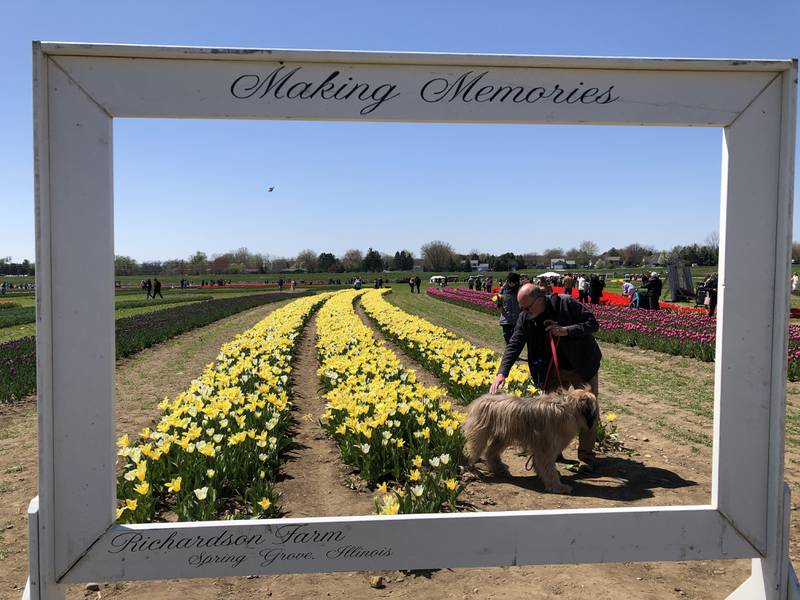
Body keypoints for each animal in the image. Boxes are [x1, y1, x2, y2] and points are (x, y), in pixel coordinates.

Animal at [462, 390, 600, 492]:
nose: (596, 419)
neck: (568, 407)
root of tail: (480, 399)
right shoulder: (547, 447)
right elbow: (548, 467)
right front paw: (558, 487)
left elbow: (541, 465)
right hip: (481, 436)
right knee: (473, 453)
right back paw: (471, 471)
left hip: (503, 436)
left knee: (490, 453)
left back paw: (499, 468)